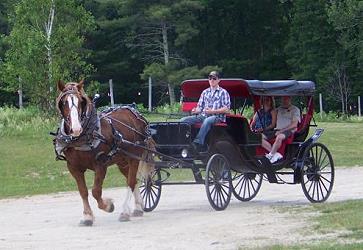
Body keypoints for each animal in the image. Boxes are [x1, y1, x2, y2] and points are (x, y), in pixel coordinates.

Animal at [54, 80, 154, 227]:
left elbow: (96, 191)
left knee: (130, 182)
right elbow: (83, 191)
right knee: (133, 180)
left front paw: (108, 206)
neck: (85, 135)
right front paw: (87, 216)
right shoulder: (73, 167)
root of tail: (136, 114)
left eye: (81, 101)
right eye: (64, 102)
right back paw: (138, 207)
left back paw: (125, 211)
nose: (76, 128)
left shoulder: (101, 164)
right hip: (122, 161)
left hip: (134, 157)